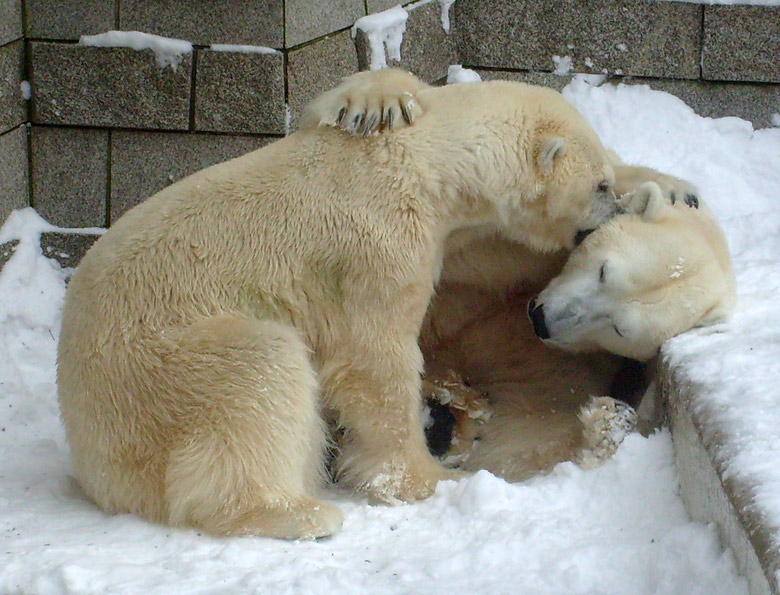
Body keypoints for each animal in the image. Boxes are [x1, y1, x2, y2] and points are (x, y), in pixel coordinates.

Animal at [58, 68, 620, 540]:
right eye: (602, 183)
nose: (615, 210)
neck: (425, 161)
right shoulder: (379, 246)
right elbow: (373, 360)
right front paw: (424, 478)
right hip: (156, 371)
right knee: (257, 373)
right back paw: (298, 512)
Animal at [306, 68, 736, 480]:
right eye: (603, 271)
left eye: (620, 329)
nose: (542, 319)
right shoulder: (503, 240)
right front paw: (376, 102)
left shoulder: (562, 369)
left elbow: (523, 440)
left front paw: (607, 423)